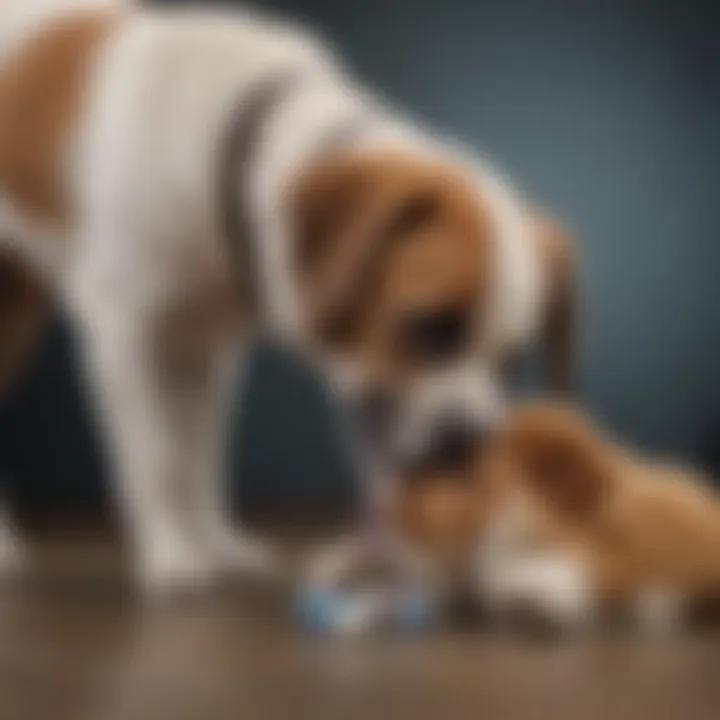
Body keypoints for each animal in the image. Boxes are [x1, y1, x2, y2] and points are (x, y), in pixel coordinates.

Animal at [0, 1, 572, 592]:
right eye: (428, 326)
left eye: (512, 361)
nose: (468, 445)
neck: (231, 151)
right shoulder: (127, 334)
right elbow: (158, 455)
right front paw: (176, 553)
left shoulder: (204, 351)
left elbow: (200, 454)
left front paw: (215, 541)